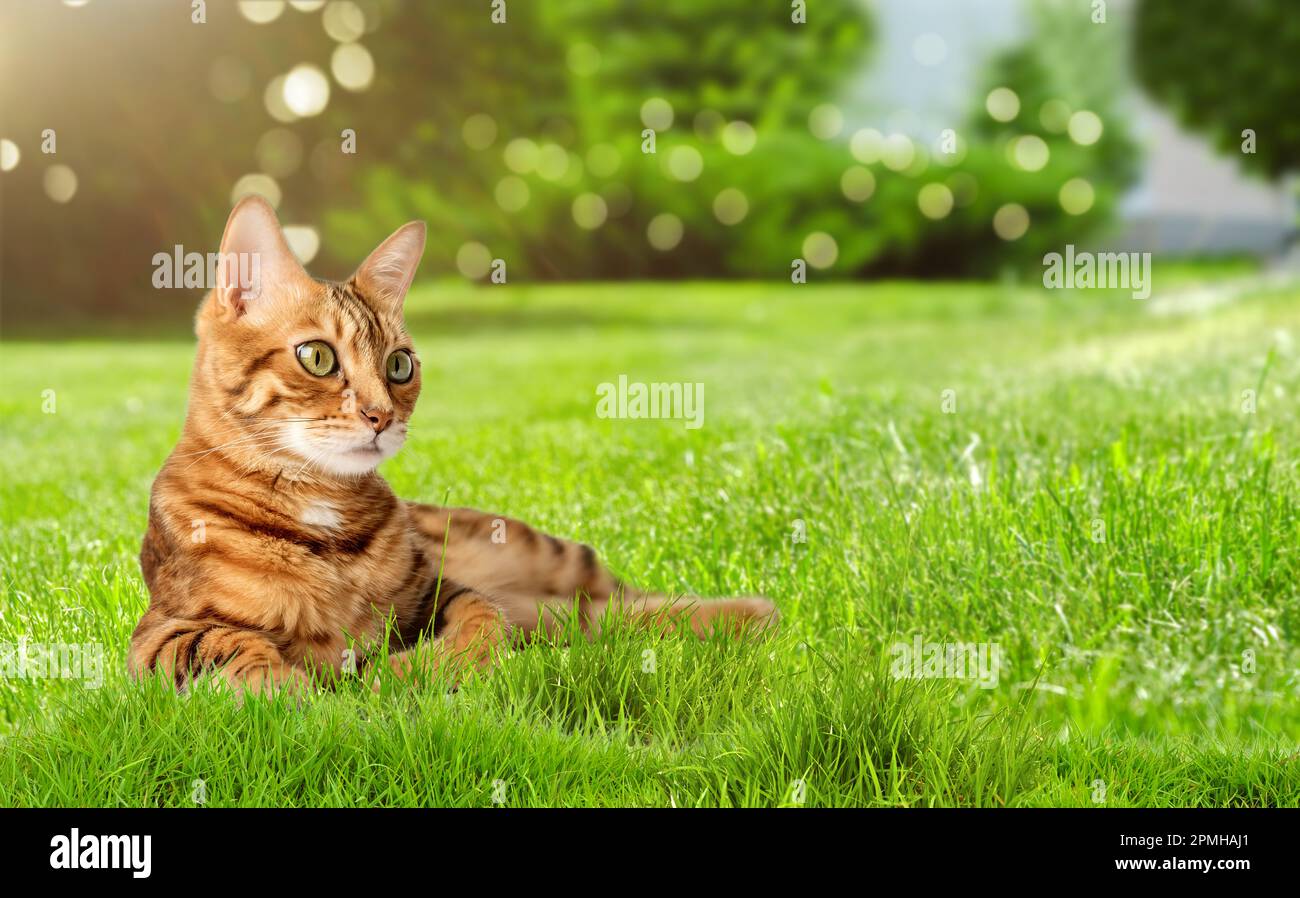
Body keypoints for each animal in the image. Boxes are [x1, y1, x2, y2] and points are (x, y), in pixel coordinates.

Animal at [129, 200, 780, 696]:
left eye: (399, 365)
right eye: (316, 356)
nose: (381, 417)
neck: (326, 525)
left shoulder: (441, 590)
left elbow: (480, 617)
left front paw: (414, 673)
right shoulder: (157, 634)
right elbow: (229, 645)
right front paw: (292, 694)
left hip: (554, 557)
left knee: (632, 602)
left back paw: (755, 613)